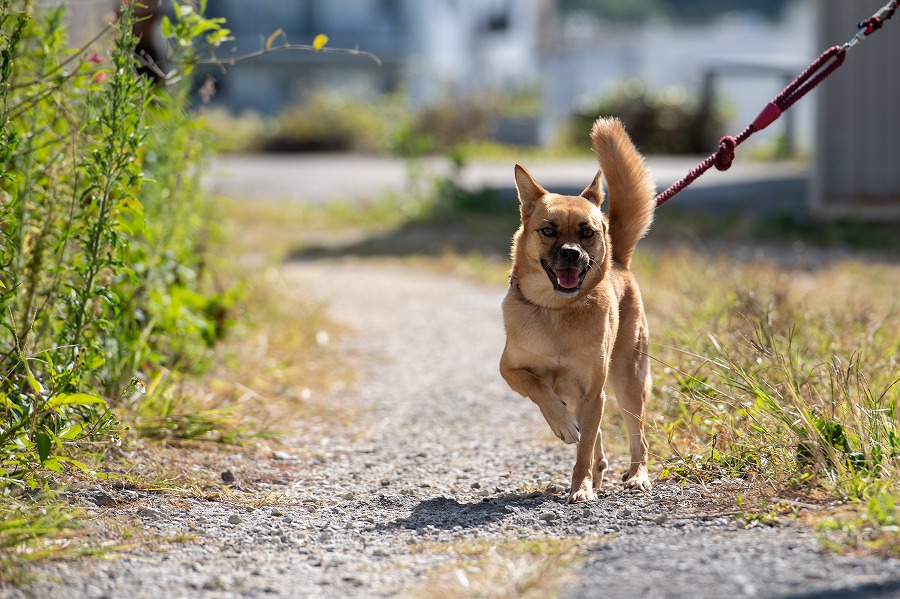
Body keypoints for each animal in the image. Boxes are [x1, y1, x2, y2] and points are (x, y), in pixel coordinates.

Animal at [500, 117, 652, 502]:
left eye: (587, 232)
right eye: (548, 230)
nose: (571, 253)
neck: (556, 310)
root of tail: (621, 264)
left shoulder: (593, 391)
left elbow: (583, 450)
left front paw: (580, 487)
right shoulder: (510, 370)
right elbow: (540, 388)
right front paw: (562, 425)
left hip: (627, 382)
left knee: (636, 438)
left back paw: (637, 476)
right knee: (595, 439)